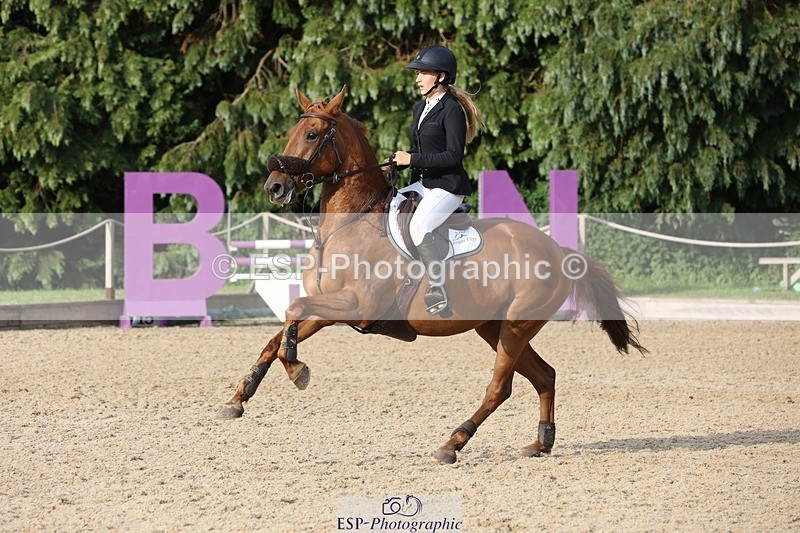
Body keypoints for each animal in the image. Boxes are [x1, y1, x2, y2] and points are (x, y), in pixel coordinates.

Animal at [218, 86, 645, 464]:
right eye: (291, 134)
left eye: (311, 134)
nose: (275, 187)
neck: (350, 222)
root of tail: (557, 251)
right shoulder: (328, 309)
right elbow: (278, 334)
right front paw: (240, 397)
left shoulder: (356, 306)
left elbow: (291, 313)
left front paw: (297, 370)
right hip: (494, 327)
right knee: (544, 376)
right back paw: (540, 443)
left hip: (515, 328)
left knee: (500, 388)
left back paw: (453, 443)